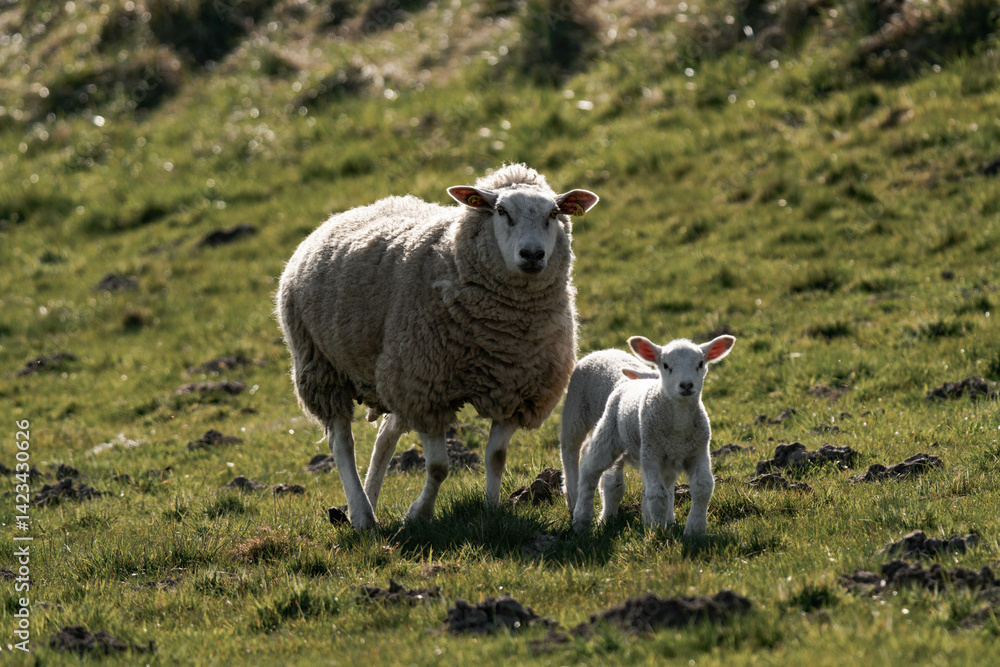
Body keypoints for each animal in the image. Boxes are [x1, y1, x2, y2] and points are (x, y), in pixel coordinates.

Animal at [276, 164, 599, 528]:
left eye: (554, 213)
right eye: (501, 211)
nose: (532, 255)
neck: (500, 334)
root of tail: (343, 215)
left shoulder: (515, 392)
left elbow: (496, 457)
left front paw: (491, 508)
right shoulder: (427, 391)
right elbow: (439, 467)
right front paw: (418, 514)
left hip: (393, 372)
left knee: (384, 437)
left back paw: (371, 498)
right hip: (322, 366)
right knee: (341, 442)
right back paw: (361, 514)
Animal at [570, 334, 736, 535]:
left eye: (700, 363)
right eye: (665, 365)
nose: (686, 385)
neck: (678, 425)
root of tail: (631, 381)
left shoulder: (698, 451)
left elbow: (702, 488)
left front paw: (694, 530)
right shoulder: (651, 453)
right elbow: (657, 494)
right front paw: (659, 531)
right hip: (609, 433)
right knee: (589, 470)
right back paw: (581, 520)